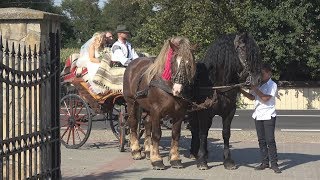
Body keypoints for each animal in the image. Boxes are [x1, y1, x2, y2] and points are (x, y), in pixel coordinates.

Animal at [124, 37, 196, 170]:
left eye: (189, 64)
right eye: (173, 62)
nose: (178, 90)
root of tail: (133, 63)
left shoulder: (179, 113)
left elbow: (175, 134)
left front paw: (175, 159)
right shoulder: (156, 111)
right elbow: (156, 134)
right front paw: (157, 160)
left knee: (147, 123)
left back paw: (148, 151)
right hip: (131, 102)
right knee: (133, 123)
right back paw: (136, 151)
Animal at [189, 32, 262, 170]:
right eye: (243, 49)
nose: (258, 79)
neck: (217, 85)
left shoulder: (229, 111)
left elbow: (226, 133)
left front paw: (227, 160)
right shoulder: (203, 112)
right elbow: (202, 133)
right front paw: (202, 161)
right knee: (195, 129)